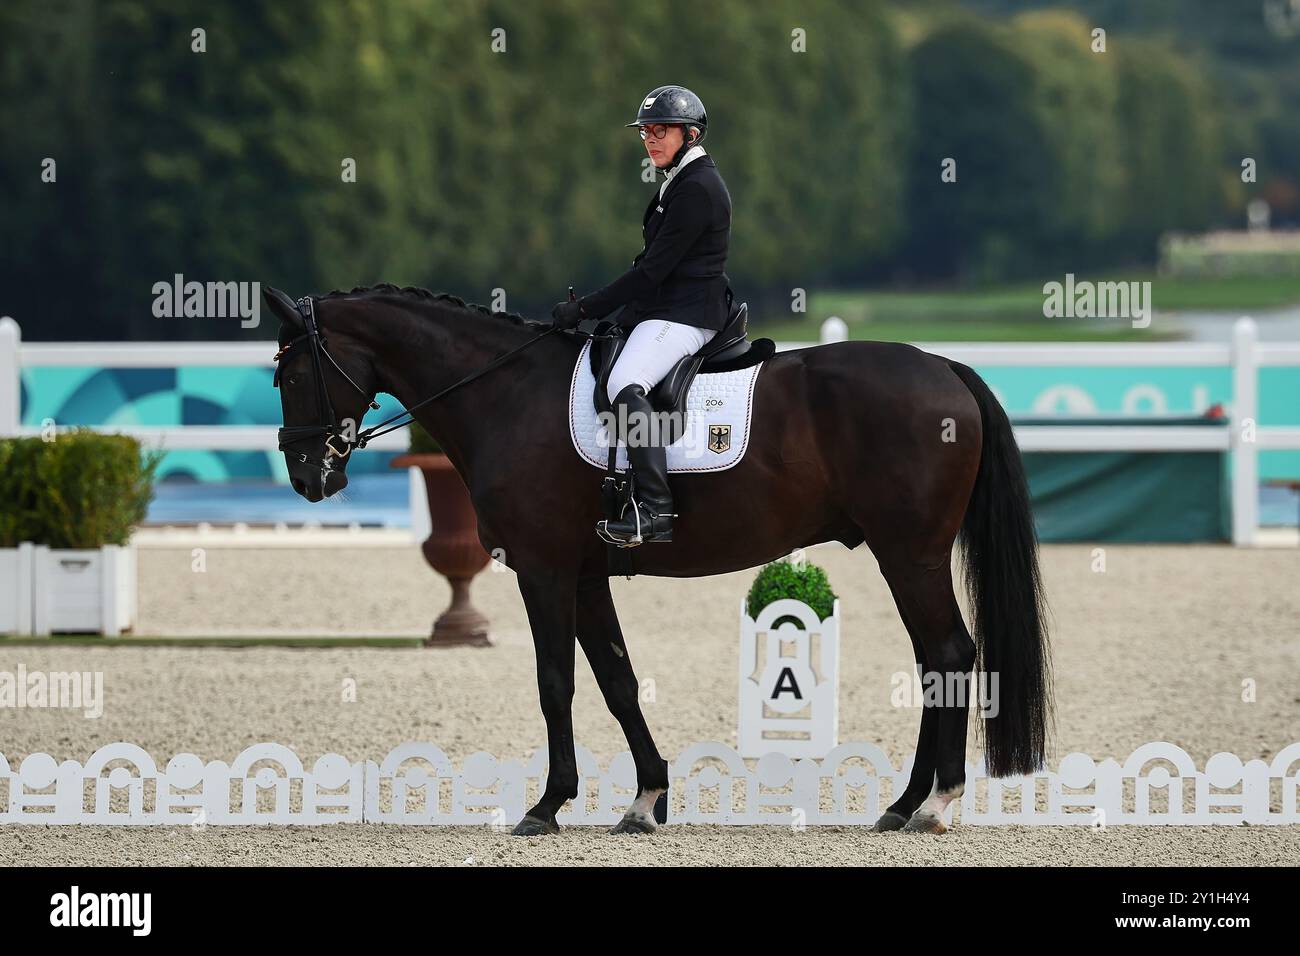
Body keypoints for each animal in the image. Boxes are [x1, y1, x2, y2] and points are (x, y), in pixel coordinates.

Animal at [269, 283, 1050, 837]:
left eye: (293, 373)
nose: (309, 478)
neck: (505, 394)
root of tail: (944, 365)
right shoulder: (585, 576)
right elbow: (617, 681)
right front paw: (645, 800)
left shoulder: (543, 570)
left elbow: (555, 684)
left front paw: (546, 807)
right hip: (905, 556)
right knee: (932, 660)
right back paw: (904, 803)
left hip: (910, 555)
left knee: (947, 653)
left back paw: (935, 804)